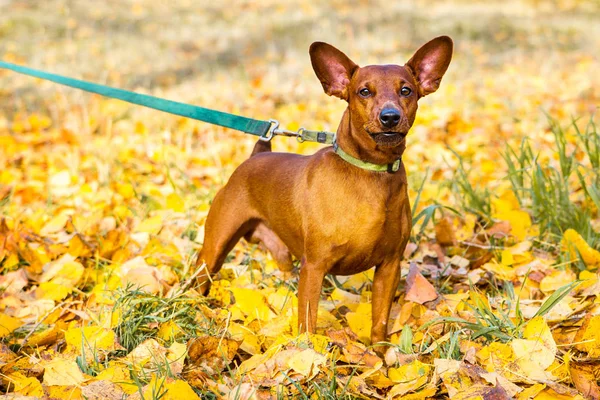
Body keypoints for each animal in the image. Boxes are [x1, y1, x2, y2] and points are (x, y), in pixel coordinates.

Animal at [195, 36, 452, 350]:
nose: (390, 117)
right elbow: (308, 322)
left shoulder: (390, 267)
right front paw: (308, 353)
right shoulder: (314, 268)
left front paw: (379, 357)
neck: (369, 173)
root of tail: (256, 156)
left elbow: (379, 322)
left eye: (406, 90)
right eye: (364, 91)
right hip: (215, 249)